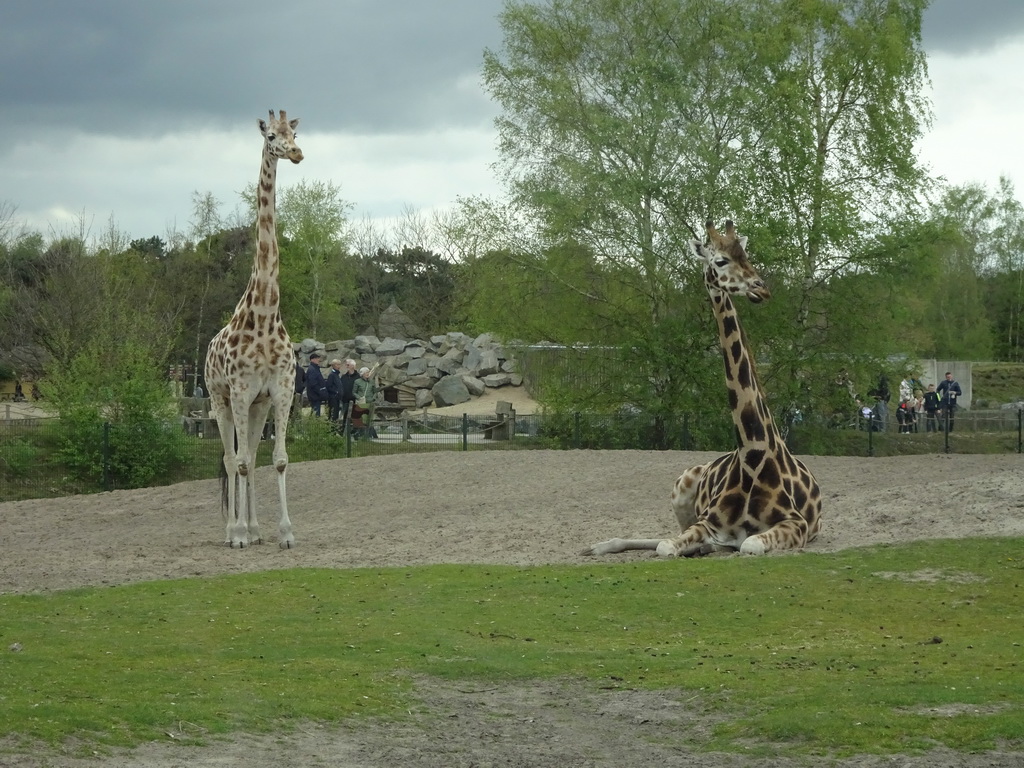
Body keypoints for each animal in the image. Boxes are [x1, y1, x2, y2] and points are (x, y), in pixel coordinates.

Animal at [585, 219, 823, 557]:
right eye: (720, 261)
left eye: (746, 255)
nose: (761, 288)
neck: (752, 456)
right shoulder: (707, 522)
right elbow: (665, 546)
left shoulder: (797, 524)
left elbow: (749, 544)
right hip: (680, 488)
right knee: (665, 534)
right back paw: (599, 546)